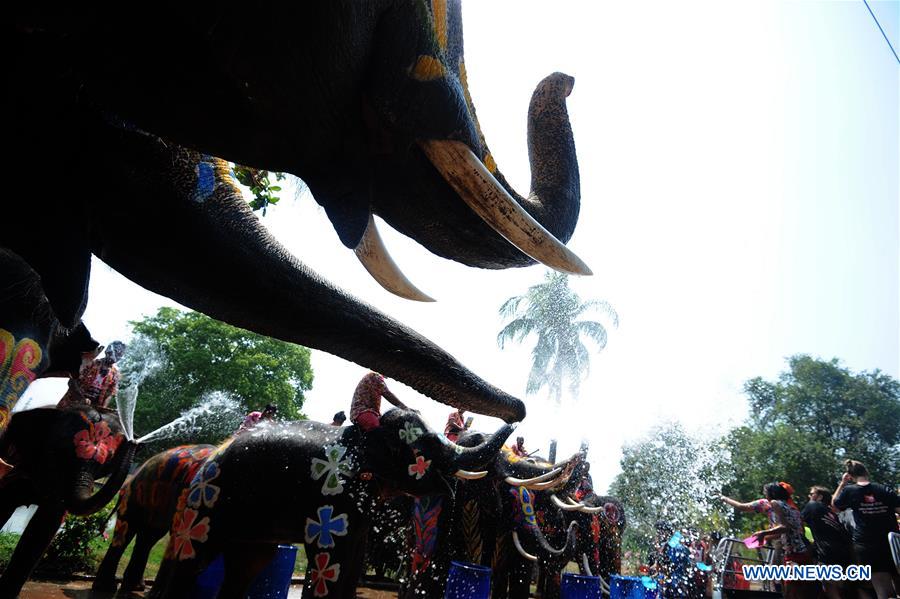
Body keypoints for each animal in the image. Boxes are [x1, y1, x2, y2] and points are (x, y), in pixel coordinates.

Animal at [145, 410, 516, 596]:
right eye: (425, 444)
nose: (514, 419)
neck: (364, 435)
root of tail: (211, 456)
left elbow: (353, 560)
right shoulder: (331, 495)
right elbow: (331, 557)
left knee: (249, 565)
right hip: (207, 500)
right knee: (192, 557)